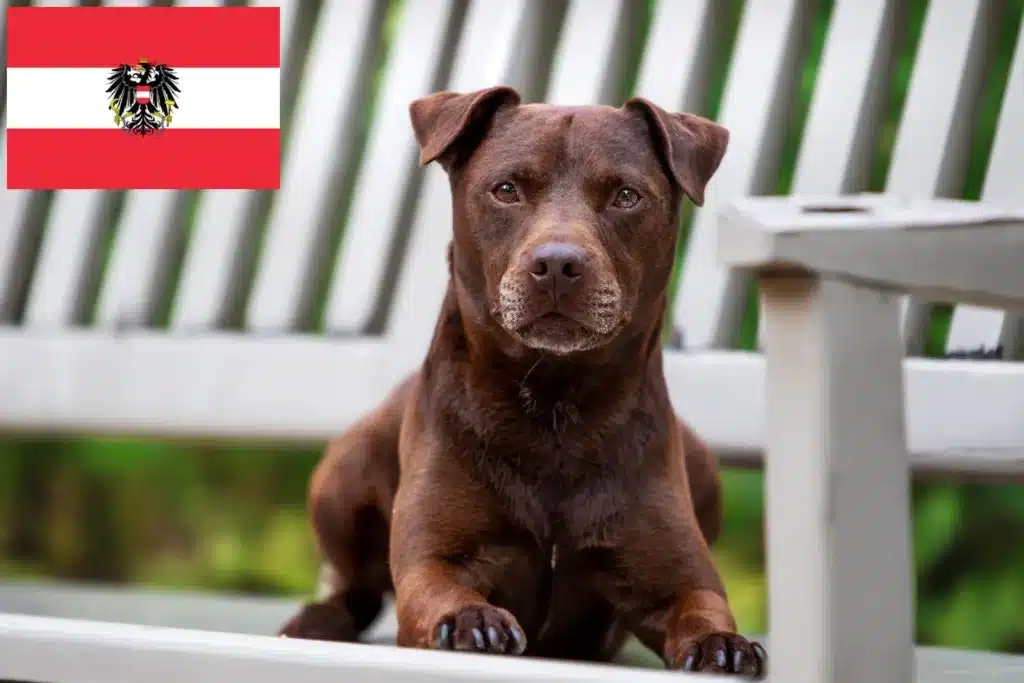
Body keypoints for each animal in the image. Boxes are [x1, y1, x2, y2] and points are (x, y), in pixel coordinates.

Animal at [280, 87, 770, 679]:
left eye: (627, 196)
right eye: (507, 189)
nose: (558, 263)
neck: (554, 407)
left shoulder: (680, 579)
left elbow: (703, 608)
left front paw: (724, 644)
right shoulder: (433, 560)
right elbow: (440, 591)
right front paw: (470, 618)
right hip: (343, 472)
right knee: (355, 587)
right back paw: (317, 618)